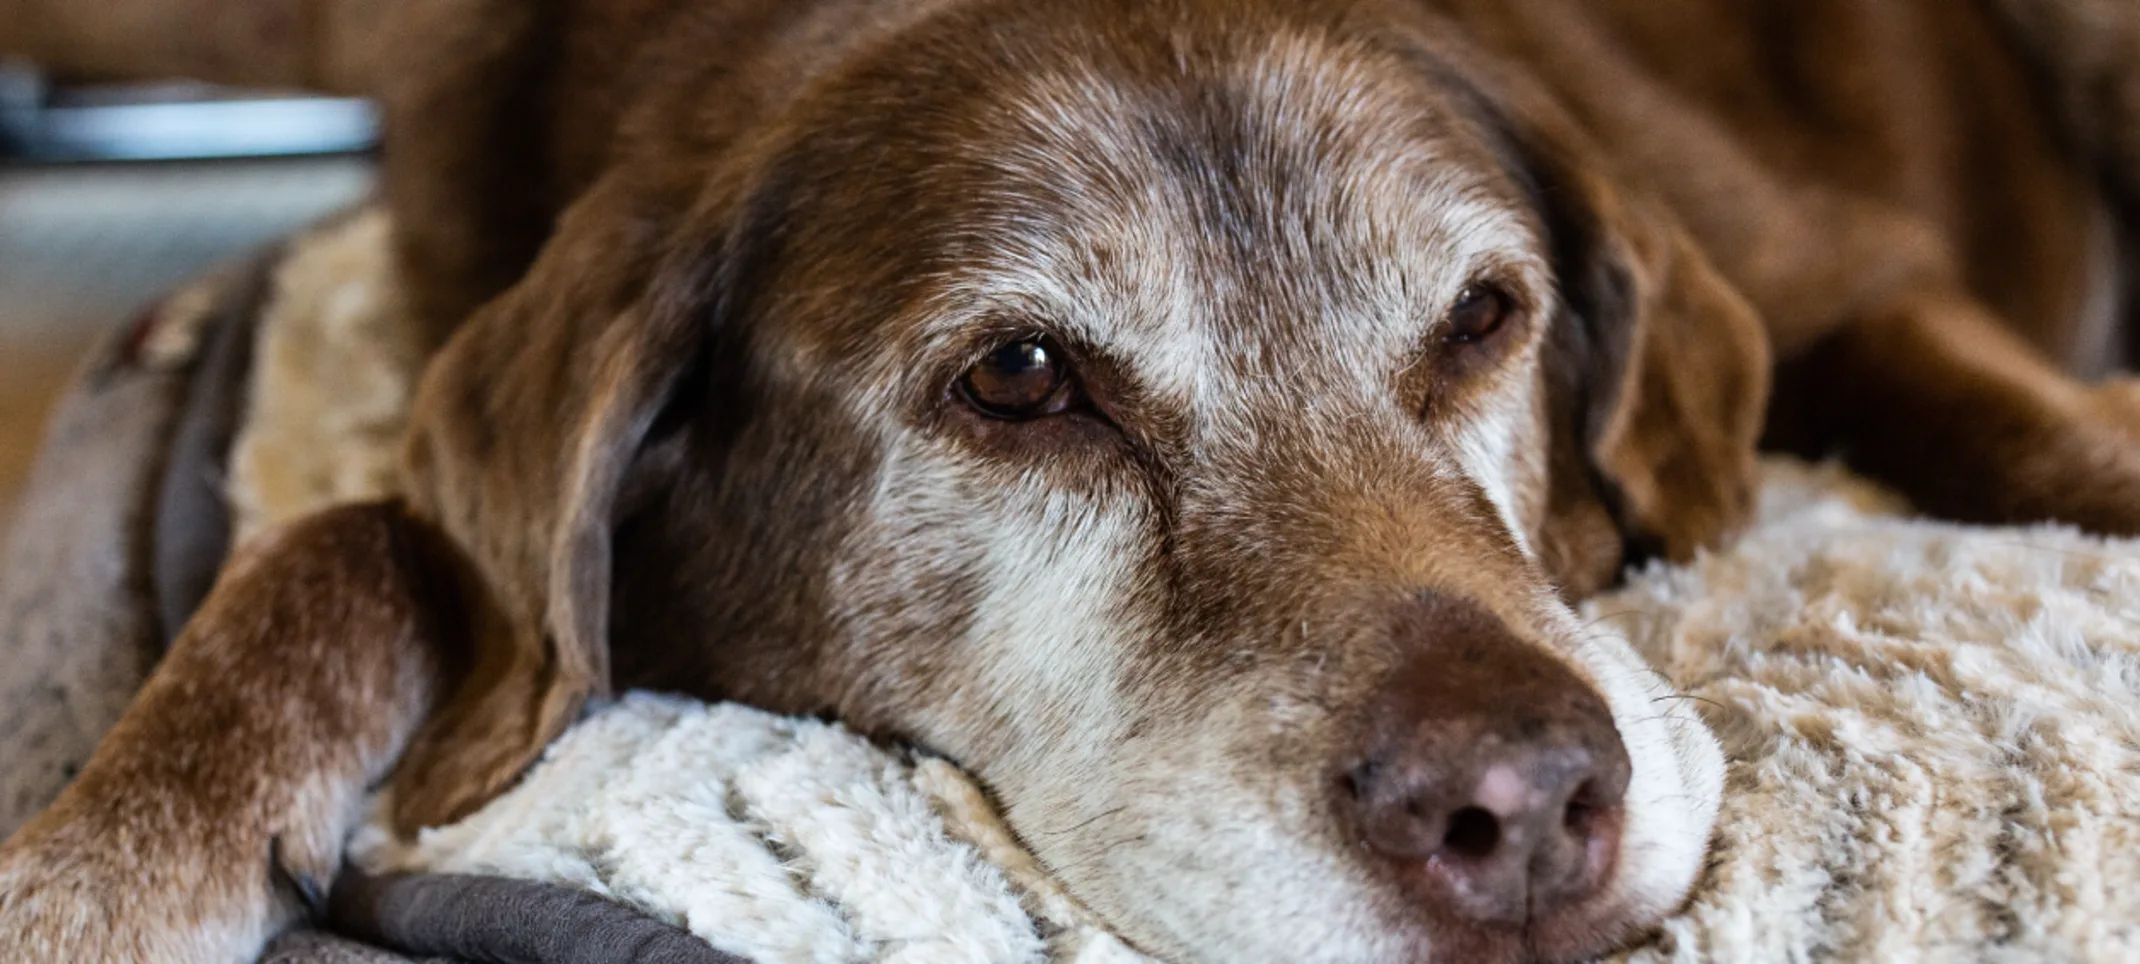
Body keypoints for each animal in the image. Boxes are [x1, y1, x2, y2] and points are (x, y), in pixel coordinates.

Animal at [12, 0, 2140, 959]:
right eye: (1021, 377)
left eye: (1482, 315)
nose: (1525, 806)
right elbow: (354, 537)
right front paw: (105, 864)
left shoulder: (1844, 275)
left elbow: (2026, 430)